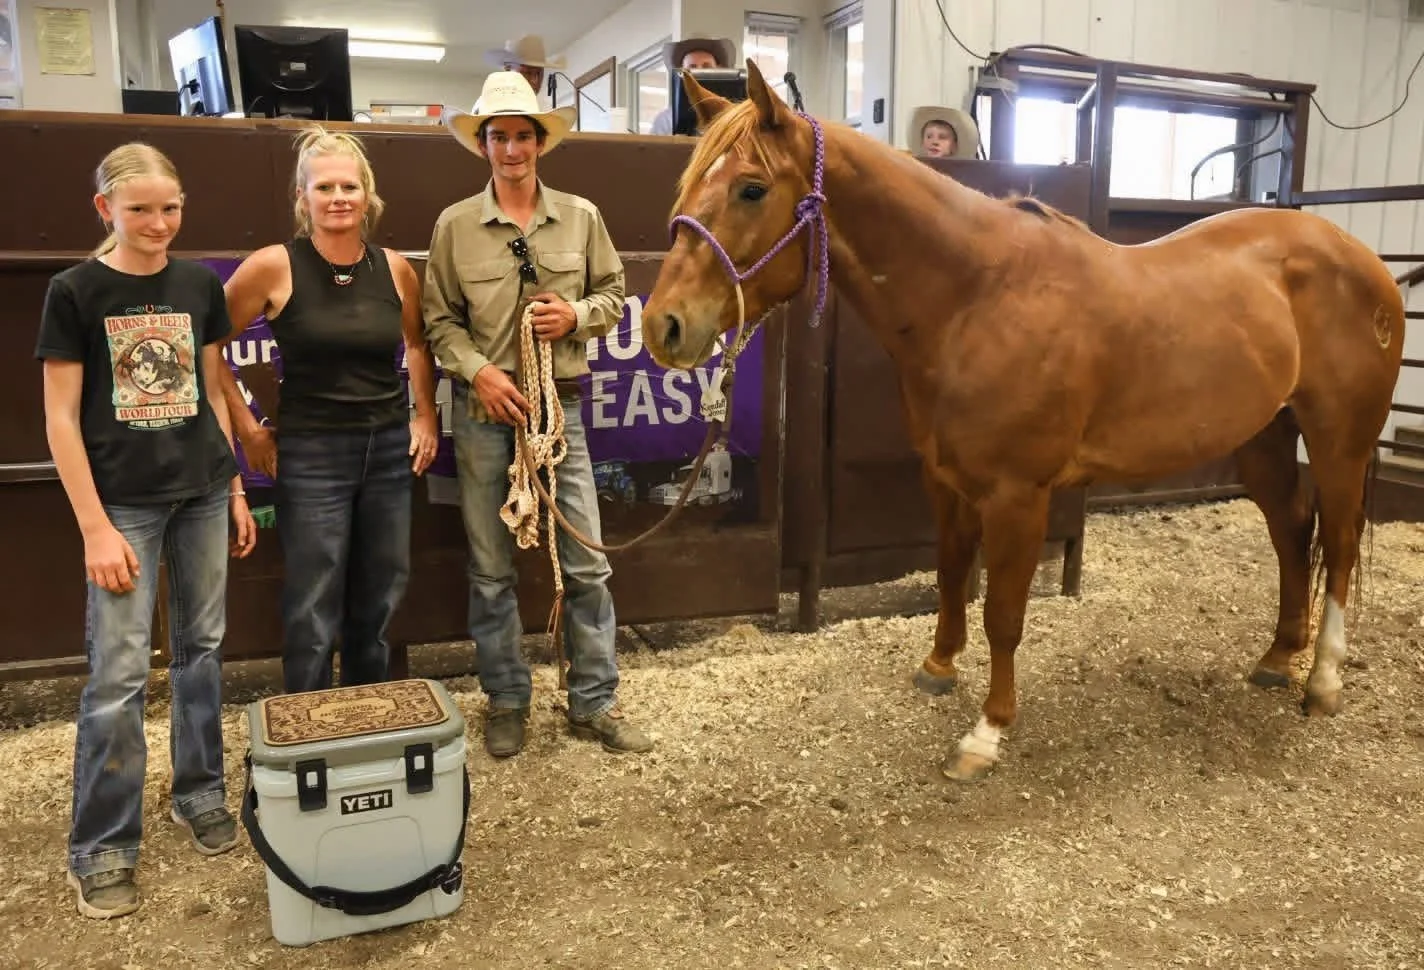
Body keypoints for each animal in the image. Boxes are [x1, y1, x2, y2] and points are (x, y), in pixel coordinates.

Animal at [639, 60, 1406, 782]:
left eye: (751, 189)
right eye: (688, 188)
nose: (663, 326)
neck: (979, 298)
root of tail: (1364, 260)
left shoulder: (1019, 496)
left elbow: (1003, 614)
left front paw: (986, 733)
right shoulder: (945, 480)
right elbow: (952, 575)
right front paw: (938, 669)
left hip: (1338, 441)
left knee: (1338, 545)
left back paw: (1323, 681)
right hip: (1263, 440)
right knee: (1292, 532)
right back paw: (1278, 657)